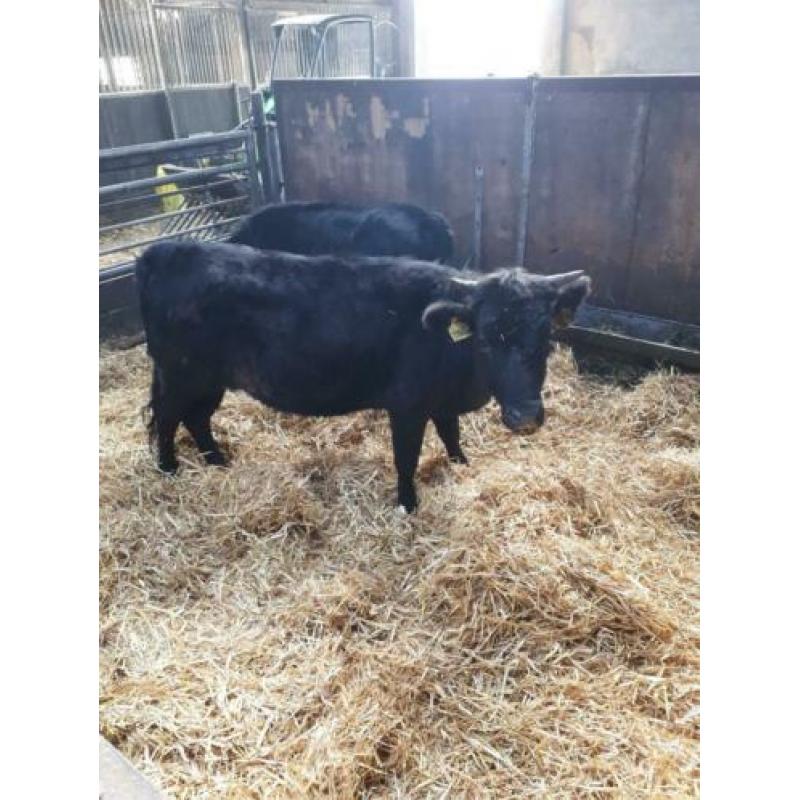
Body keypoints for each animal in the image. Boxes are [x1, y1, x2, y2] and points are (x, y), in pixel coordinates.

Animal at [136, 240, 591, 512]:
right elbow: (406, 458)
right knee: (168, 418)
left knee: (196, 419)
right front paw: (407, 504)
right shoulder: (407, 406)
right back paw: (169, 468)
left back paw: (216, 461)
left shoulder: (441, 401)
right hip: (180, 374)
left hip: (208, 379)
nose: (525, 418)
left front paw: (461, 466)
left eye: (546, 337)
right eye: (486, 339)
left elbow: (451, 435)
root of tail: (167, 249)